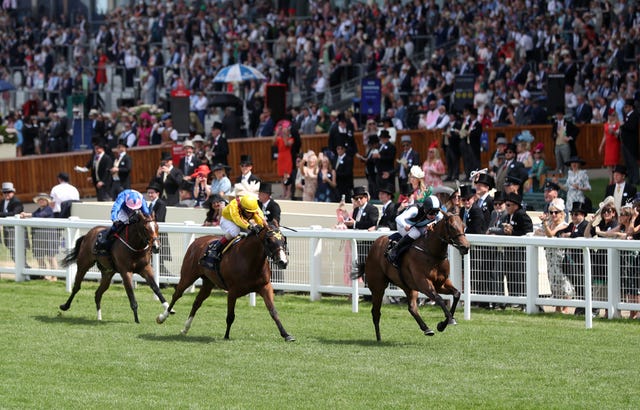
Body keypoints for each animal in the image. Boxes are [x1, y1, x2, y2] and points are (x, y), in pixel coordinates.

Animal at [156, 223, 296, 342]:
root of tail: (197, 241)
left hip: (208, 283)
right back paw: (162, 317)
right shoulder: (232, 292)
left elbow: (273, 312)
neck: (250, 261)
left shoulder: (265, 287)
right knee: (177, 295)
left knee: (197, 302)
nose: (283, 262)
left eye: (283, 240)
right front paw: (226, 335)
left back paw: (185, 328)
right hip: (188, 276)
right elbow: (230, 316)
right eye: (269, 240)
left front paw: (286, 335)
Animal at [356, 213, 470, 342]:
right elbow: (439, 298)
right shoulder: (423, 283)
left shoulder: (441, 284)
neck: (431, 252)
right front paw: (449, 320)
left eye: (464, 226)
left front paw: (442, 325)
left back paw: (426, 329)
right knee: (376, 312)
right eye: (451, 226)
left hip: (407, 286)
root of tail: (375, 244)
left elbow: (456, 294)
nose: (465, 247)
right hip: (378, 287)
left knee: (412, 307)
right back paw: (379, 338)